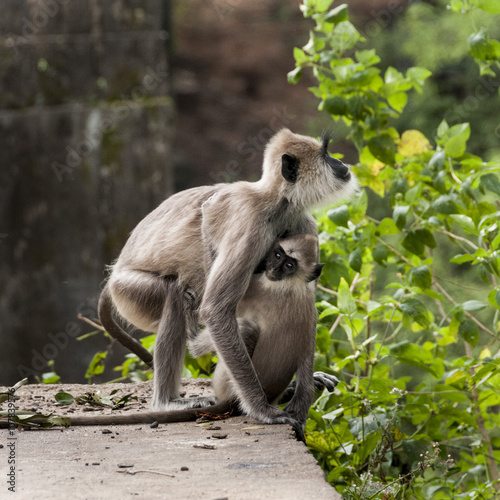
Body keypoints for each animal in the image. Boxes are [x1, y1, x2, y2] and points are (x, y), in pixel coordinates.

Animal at [188, 233, 340, 430]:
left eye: (289, 265)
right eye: (278, 255)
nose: (274, 268)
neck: (289, 285)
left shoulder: (256, 286)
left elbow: (214, 314)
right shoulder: (308, 298)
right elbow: (308, 346)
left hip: (222, 383)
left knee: (244, 329)